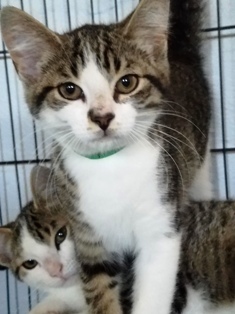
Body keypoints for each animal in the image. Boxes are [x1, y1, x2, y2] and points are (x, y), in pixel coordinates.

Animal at [0, 0, 211, 314]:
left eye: (127, 82)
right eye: (69, 89)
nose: (102, 116)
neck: (109, 165)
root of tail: (178, 51)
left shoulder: (160, 226)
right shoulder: (86, 237)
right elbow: (99, 290)